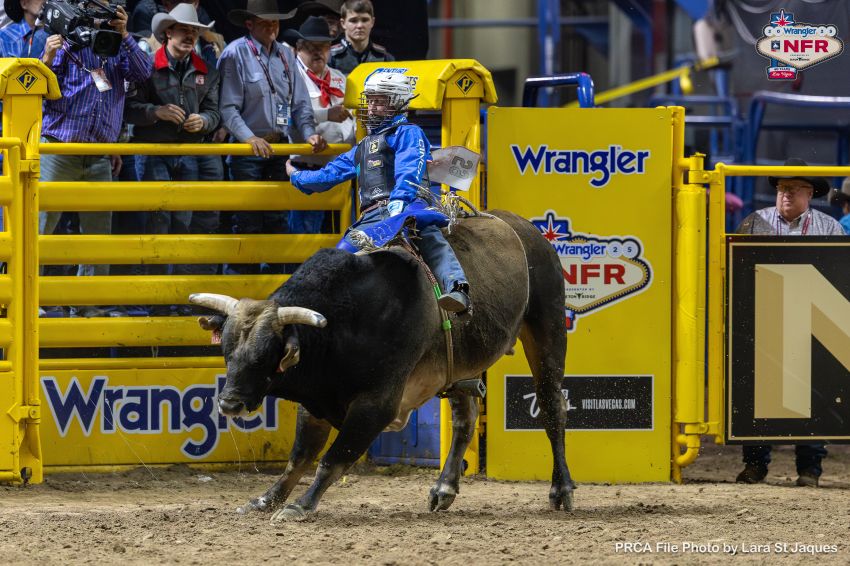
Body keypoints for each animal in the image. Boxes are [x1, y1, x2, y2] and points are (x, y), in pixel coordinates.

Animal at [190, 210, 574, 521]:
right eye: (227, 351)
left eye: (266, 354)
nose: (229, 403)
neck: (347, 320)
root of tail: (524, 228)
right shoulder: (315, 401)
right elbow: (300, 457)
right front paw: (265, 500)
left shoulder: (377, 404)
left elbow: (334, 457)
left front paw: (299, 506)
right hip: (462, 364)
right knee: (465, 420)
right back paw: (444, 489)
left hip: (548, 328)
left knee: (552, 409)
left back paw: (562, 489)